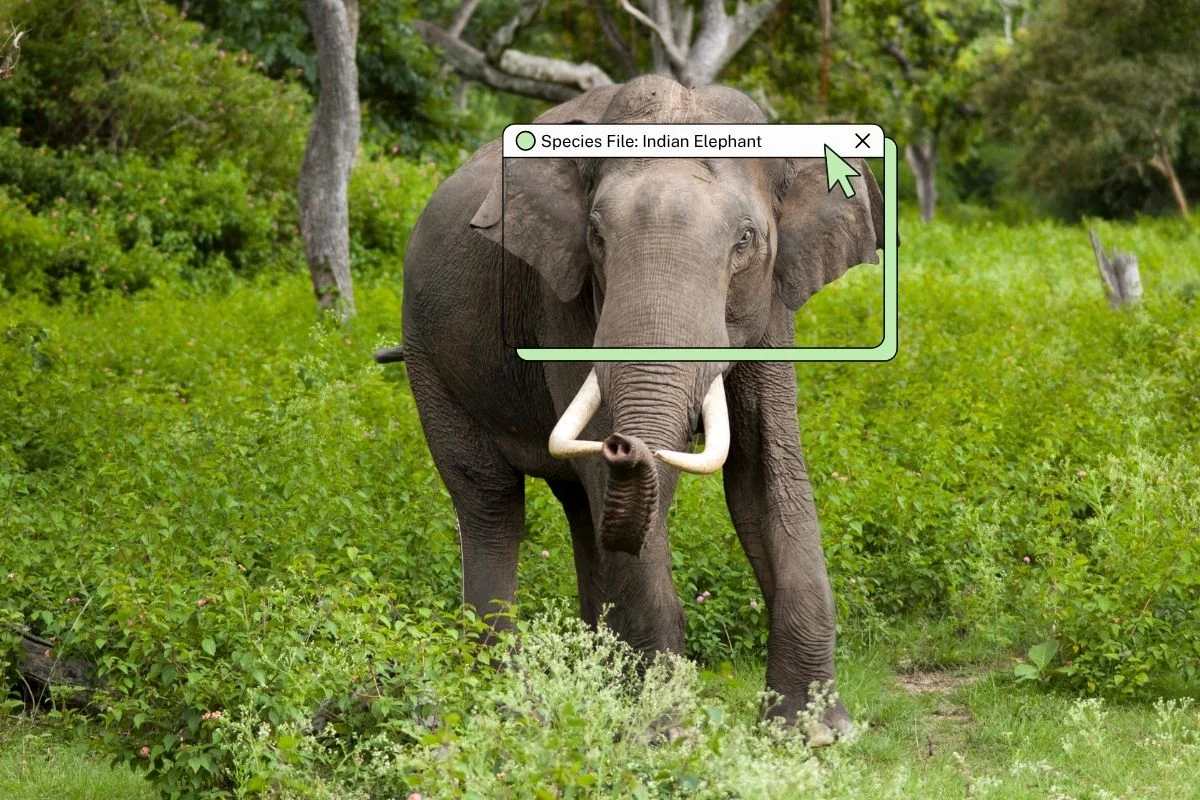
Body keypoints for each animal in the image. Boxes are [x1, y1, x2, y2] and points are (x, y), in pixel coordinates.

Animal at [389, 74, 883, 744]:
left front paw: (815, 734)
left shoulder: (773, 303)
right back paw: (510, 703)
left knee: (581, 509)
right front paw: (664, 735)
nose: (626, 445)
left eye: (746, 240)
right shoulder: (562, 298)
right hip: (427, 356)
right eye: (597, 236)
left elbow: (764, 474)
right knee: (491, 502)